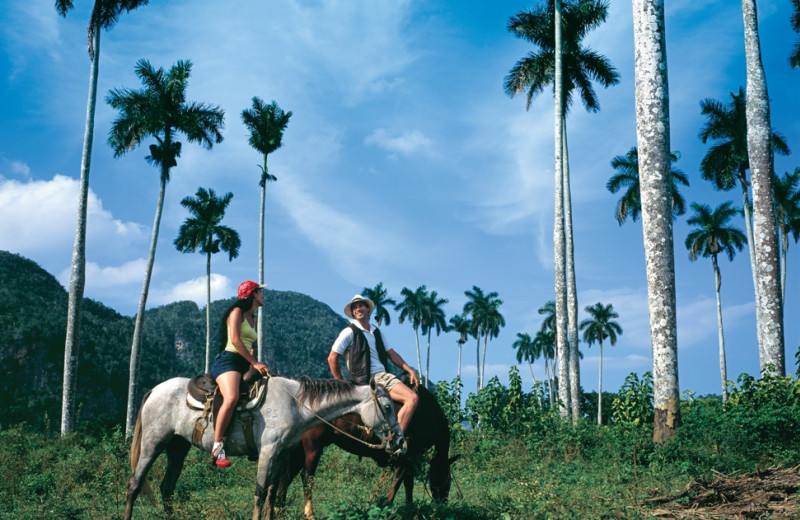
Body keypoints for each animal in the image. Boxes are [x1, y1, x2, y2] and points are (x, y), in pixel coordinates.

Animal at [124, 376, 406, 516]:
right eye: (388, 407)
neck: (296, 405)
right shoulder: (268, 452)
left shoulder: (281, 455)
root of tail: (154, 391)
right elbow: (260, 494)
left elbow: (272, 493)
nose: (401, 442)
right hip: (152, 443)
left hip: (177, 447)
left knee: (167, 488)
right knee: (135, 484)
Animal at [278, 384, 456, 516]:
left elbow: (407, 484)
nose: (443, 502)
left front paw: (409, 509)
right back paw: (309, 514)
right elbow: (397, 483)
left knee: (286, 477)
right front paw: (386, 508)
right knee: (306, 477)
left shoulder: (409, 459)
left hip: (298, 450)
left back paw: (280, 510)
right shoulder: (408, 457)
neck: (429, 413)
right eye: (447, 479)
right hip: (313, 447)